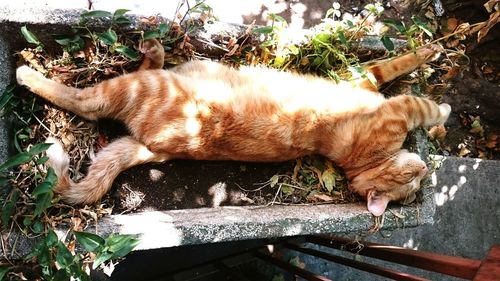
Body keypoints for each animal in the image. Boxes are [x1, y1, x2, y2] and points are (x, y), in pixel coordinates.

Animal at [15, 39, 452, 214]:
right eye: (412, 182)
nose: (426, 169)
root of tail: (160, 148)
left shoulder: (389, 102)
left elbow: (419, 99)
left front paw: (441, 106)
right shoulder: (368, 82)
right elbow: (399, 70)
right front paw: (431, 55)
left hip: (136, 92)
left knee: (87, 104)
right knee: (96, 98)